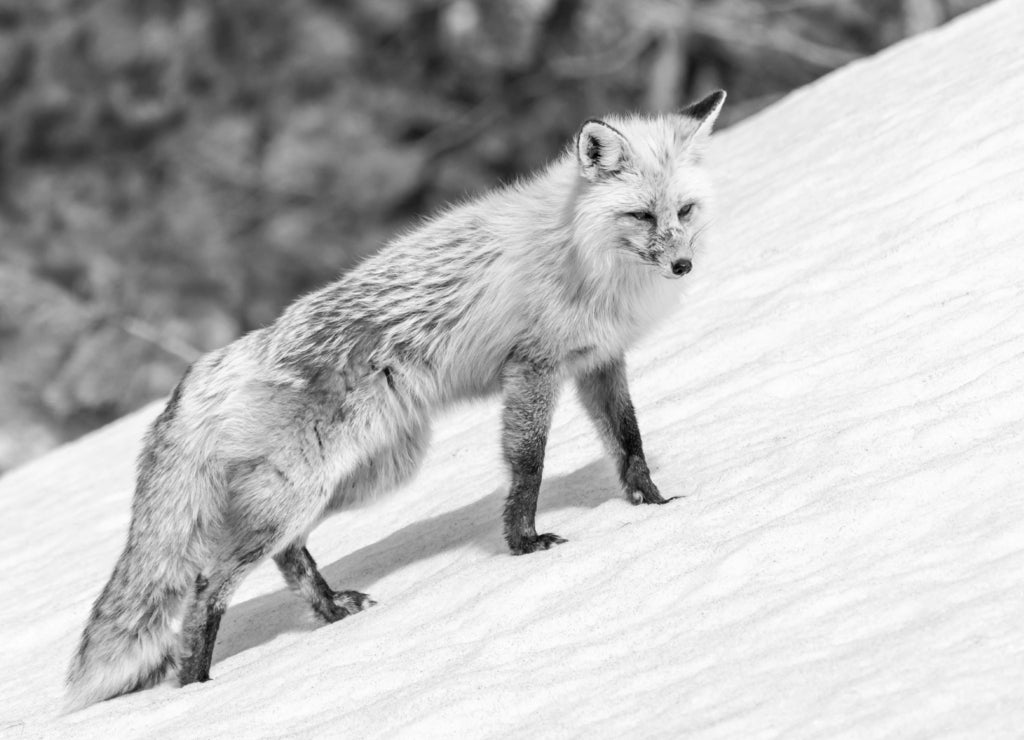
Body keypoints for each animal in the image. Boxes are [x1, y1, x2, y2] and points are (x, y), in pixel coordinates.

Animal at [64, 91, 729, 712]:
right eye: (640, 214)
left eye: (684, 210)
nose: (682, 264)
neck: (582, 251)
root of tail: (212, 365)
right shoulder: (534, 367)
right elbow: (529, 464)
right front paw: (524, 544)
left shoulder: (598, 361)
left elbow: (629, 441)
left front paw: (653, 504)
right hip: (310, 488)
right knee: (207, 583)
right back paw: (195, 683)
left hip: (362, 476)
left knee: (286, 554)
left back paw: (331, 609)